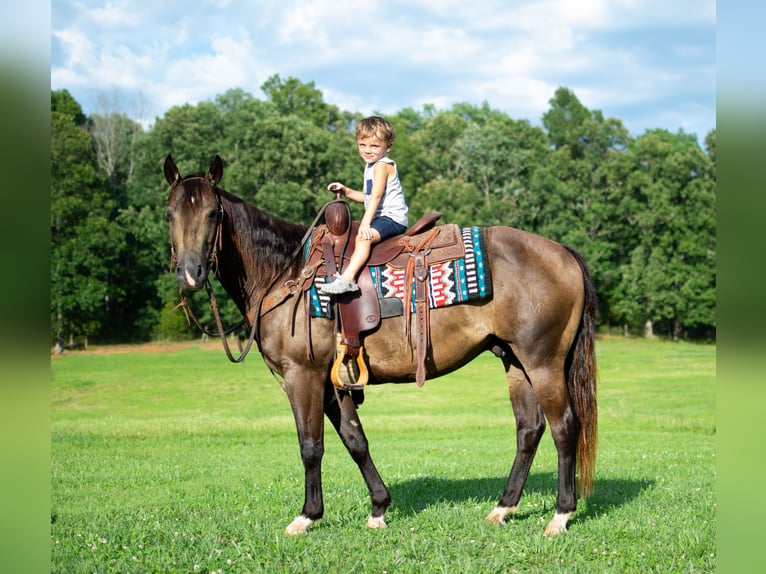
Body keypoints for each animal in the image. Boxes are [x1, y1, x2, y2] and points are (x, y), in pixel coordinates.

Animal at [165, 155, 600, 536]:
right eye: (170, 214)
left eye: (214, 214)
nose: (191, 273)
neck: (285, 274)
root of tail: (563, 252)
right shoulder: (334, 382)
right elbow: (355, 441)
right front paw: (378, 508)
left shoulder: (302, 376)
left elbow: (311, 446)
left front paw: (306, 516)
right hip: (515, 362)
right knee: (529, 429)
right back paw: (503, 508)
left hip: (543, 362)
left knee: (564, 427)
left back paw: (560, 515)